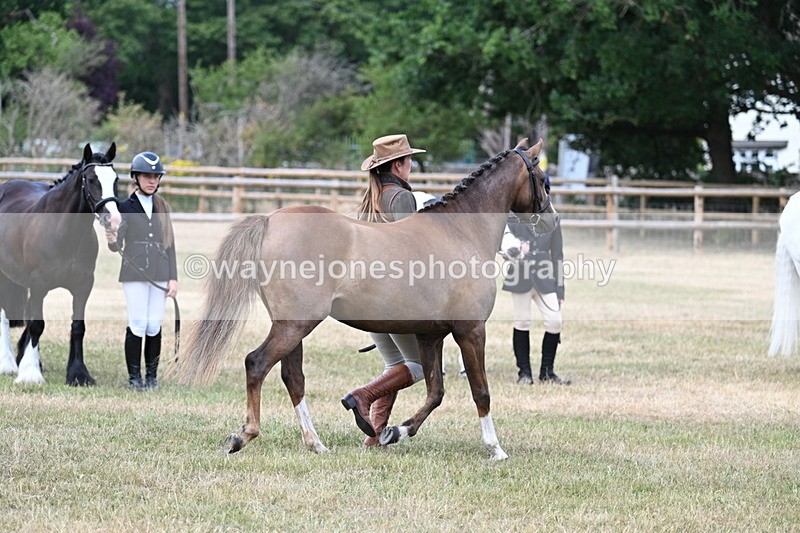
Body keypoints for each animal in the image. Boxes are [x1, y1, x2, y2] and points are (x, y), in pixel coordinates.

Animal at [0, 143, 122, 385]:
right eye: (91, 179)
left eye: (115, 179)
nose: (113, 220)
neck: (64, 231)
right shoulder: (38, 284)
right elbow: (37, 325)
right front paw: (30, 374)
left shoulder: (83, 286)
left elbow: (78, 327)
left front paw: (78, 374)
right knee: (4, 316)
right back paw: (7, 364)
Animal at [176, 138, 557, 460]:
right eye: (543, 179)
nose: (551, 221)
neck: (460, 232)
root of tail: (270, 220)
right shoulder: (471, 331)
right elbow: (480, 391)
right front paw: (495, 448)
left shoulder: (430, 335)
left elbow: (435, 392)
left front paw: (396, 431)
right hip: (295, 325)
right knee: (257, 363)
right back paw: (244, 436)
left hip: (291, 327)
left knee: (293, 378)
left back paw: (317, 442)